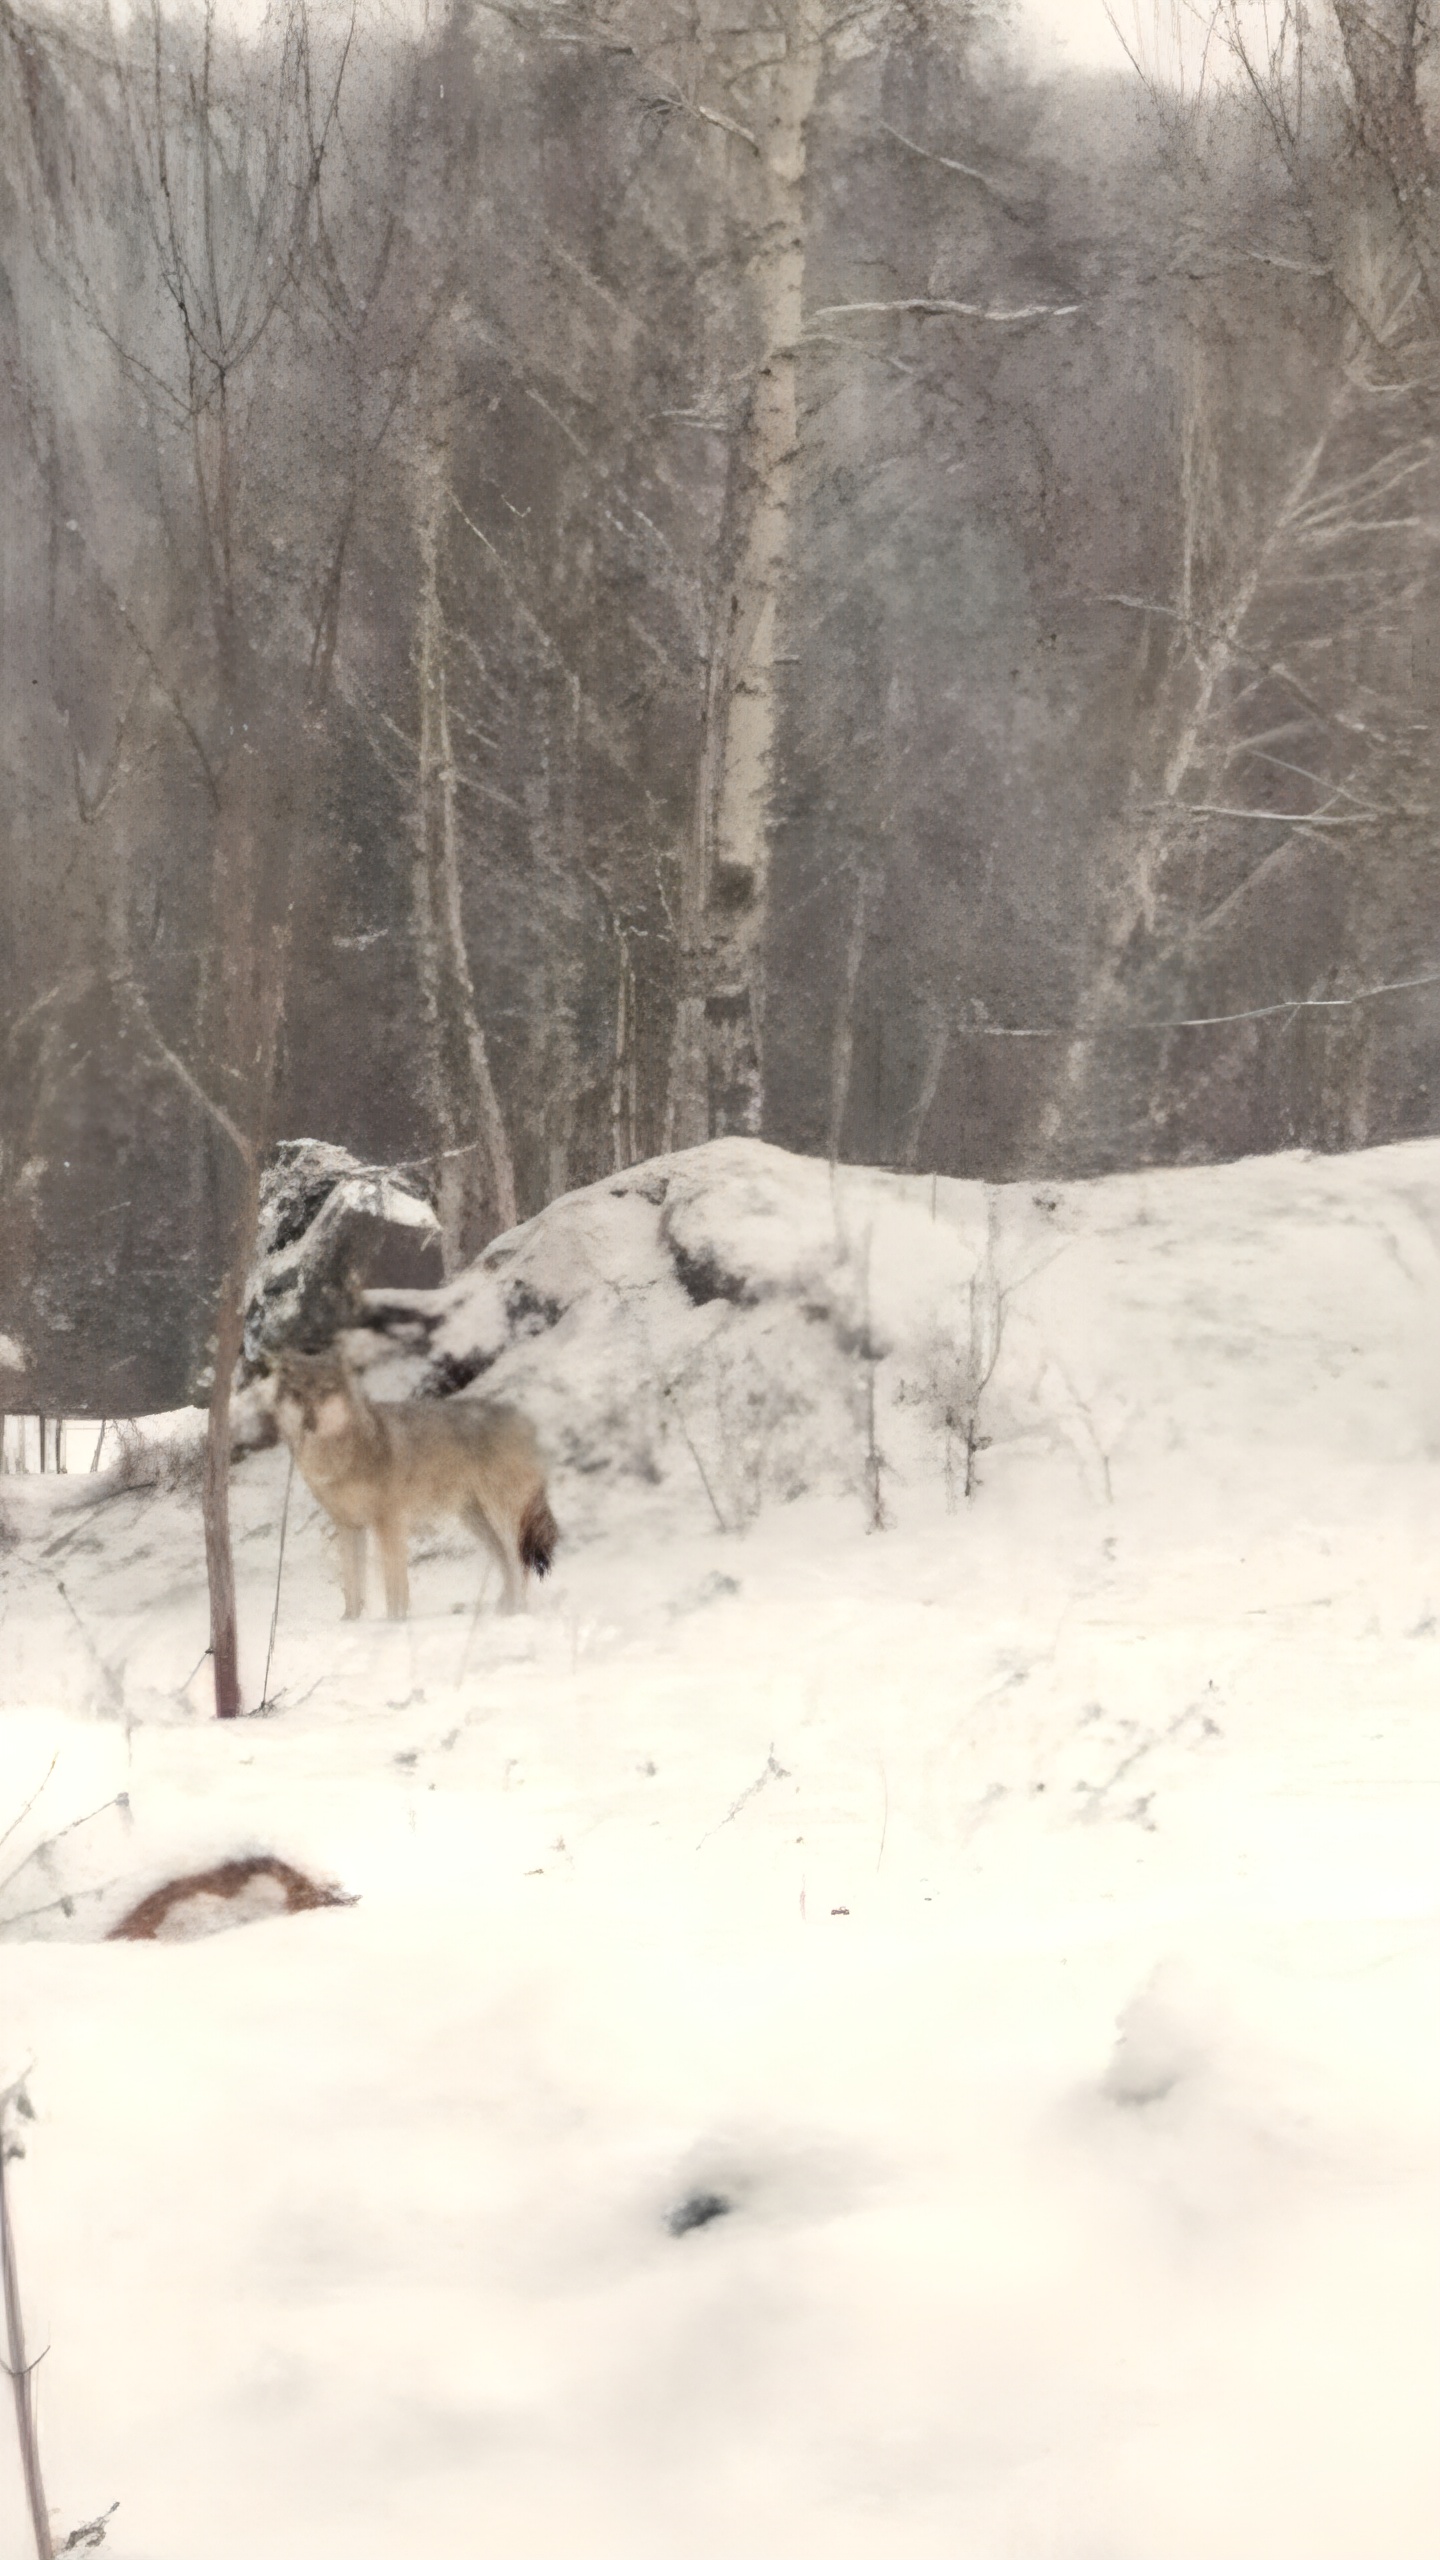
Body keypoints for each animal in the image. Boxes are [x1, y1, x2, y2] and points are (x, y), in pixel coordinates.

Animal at [269, 1341, 556, 1617]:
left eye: (325, 1392)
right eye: (298, 1394)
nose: (309, 1422)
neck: (340, 1457)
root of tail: (526, 1420)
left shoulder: (389, 1523)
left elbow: (394, 1585)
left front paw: (394, 1622)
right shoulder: (349, 1526)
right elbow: (352, 1586)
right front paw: (350, 1623)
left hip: (503, 1517)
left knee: (520, 1563)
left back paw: (515, 1613)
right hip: (476, 1521)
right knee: (509, 1563)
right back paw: (504, 1609)